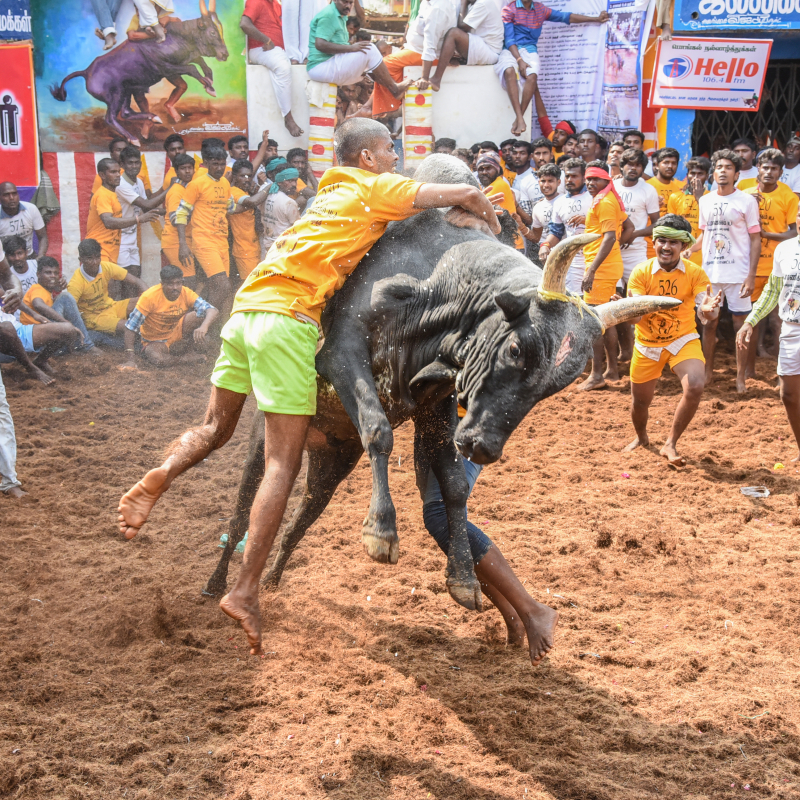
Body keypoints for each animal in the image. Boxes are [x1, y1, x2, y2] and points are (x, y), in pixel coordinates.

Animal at [202, 156, 676, 608]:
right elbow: (378, 430)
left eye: (555, 385)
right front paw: (381, 533)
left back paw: (273, 577)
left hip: (332, 460)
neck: (438, 290)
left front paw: (464, 579)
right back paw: (216, 584)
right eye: (515, 349)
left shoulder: (438, 403)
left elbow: (452, 484)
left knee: (300, 518)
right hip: (265, 440)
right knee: (244, 512)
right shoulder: (342, 354)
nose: (483, 447)